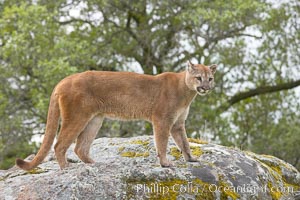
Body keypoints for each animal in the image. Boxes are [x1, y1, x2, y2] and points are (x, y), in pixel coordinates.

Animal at [15, 61, 216, 170]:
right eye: (199, 77)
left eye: (210, 78)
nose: (206, 88)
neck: (186, 92)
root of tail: (64, 79)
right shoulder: (162, 120)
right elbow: (162, 143)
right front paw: (165, 163)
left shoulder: (177, 124)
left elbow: (184, 143)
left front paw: (191, 159)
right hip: (77, 117)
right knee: (59, 144)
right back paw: (66, 167)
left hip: (94, 119)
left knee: (80, 147)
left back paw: (94, 164)